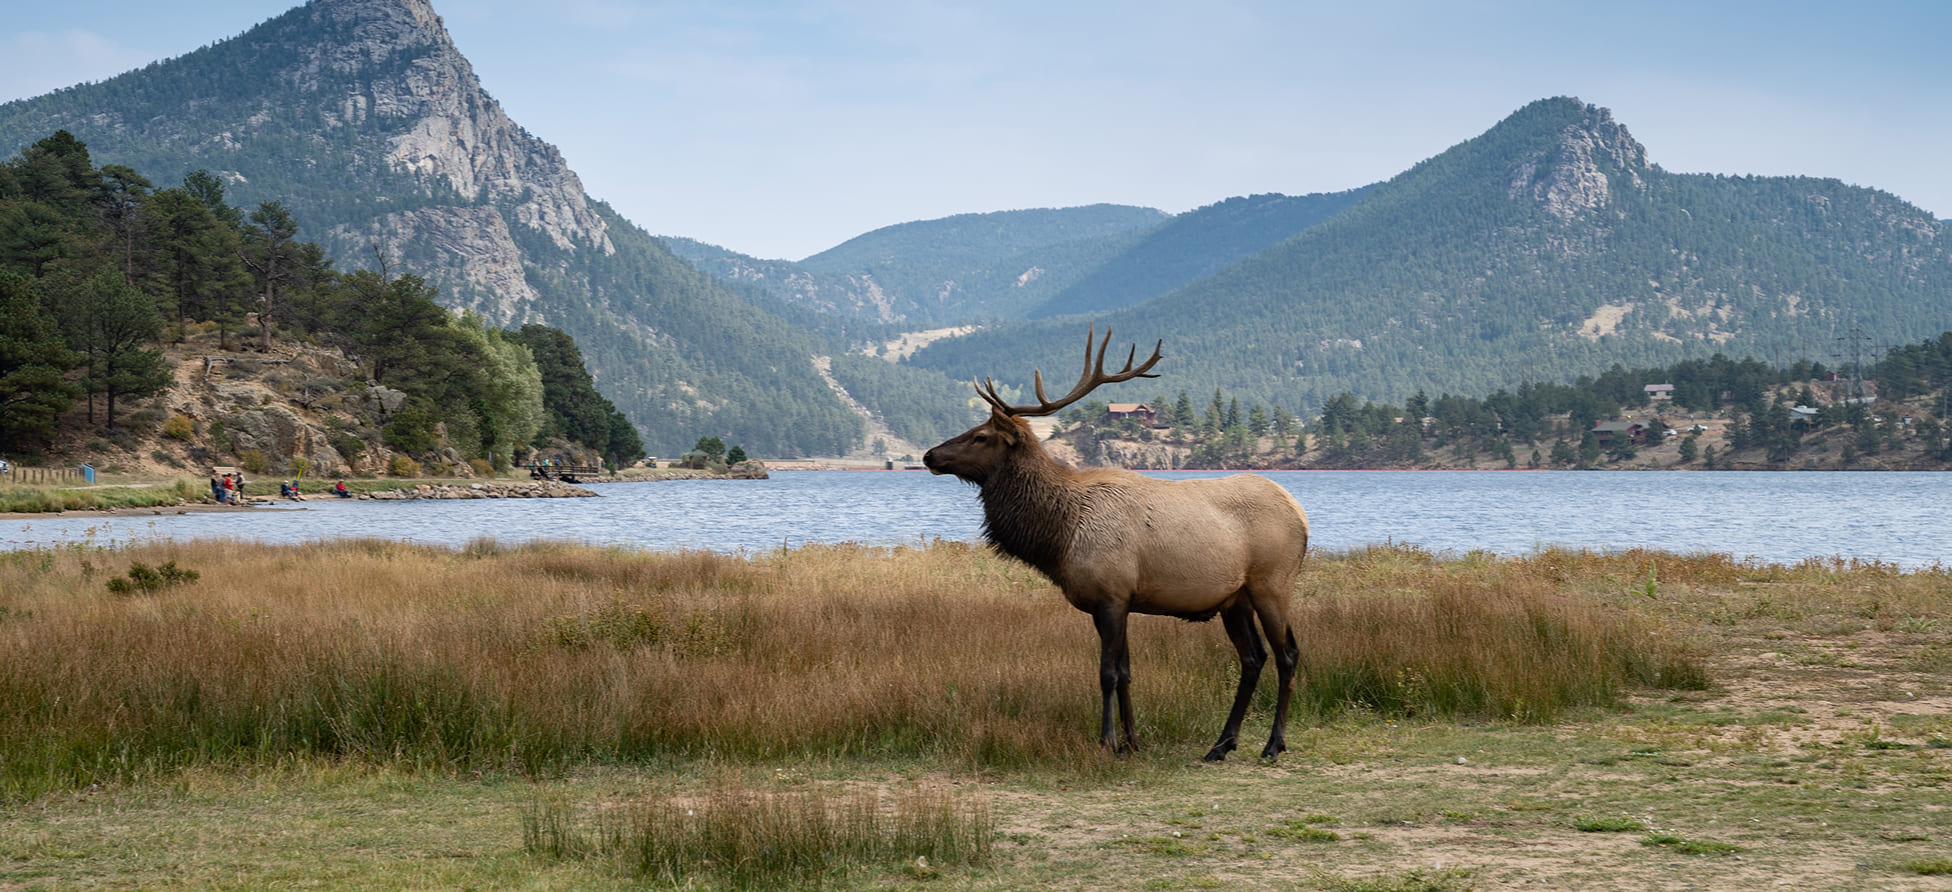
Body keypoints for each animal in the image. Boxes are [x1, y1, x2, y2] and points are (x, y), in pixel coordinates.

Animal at [923, 327, 1310, 762]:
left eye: (981, 435)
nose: (929, 455)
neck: (1060, 535)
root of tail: (1301, 515)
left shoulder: (1111, 594)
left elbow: (1106, 673)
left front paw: (1106, 741)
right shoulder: (1112, 601)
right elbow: (1126, 672)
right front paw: (1131, 741)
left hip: (1272, 583)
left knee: (1288, 654)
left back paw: (1274, 744)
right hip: (1234, 598)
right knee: (1253, 657)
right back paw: (1221, 744)